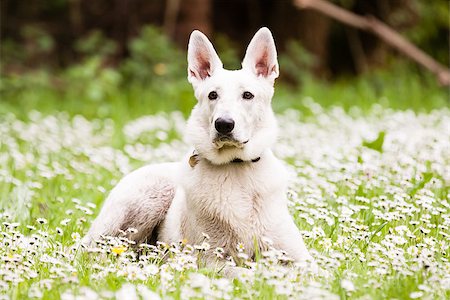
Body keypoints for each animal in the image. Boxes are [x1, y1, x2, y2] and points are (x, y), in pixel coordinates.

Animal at [84, 27, 316, 274]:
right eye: (213, 95)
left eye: (248, 95)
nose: (224, 124)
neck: (235, 167)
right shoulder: (211, 259)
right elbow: (249, 273)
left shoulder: (300, 257)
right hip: (145, 201)